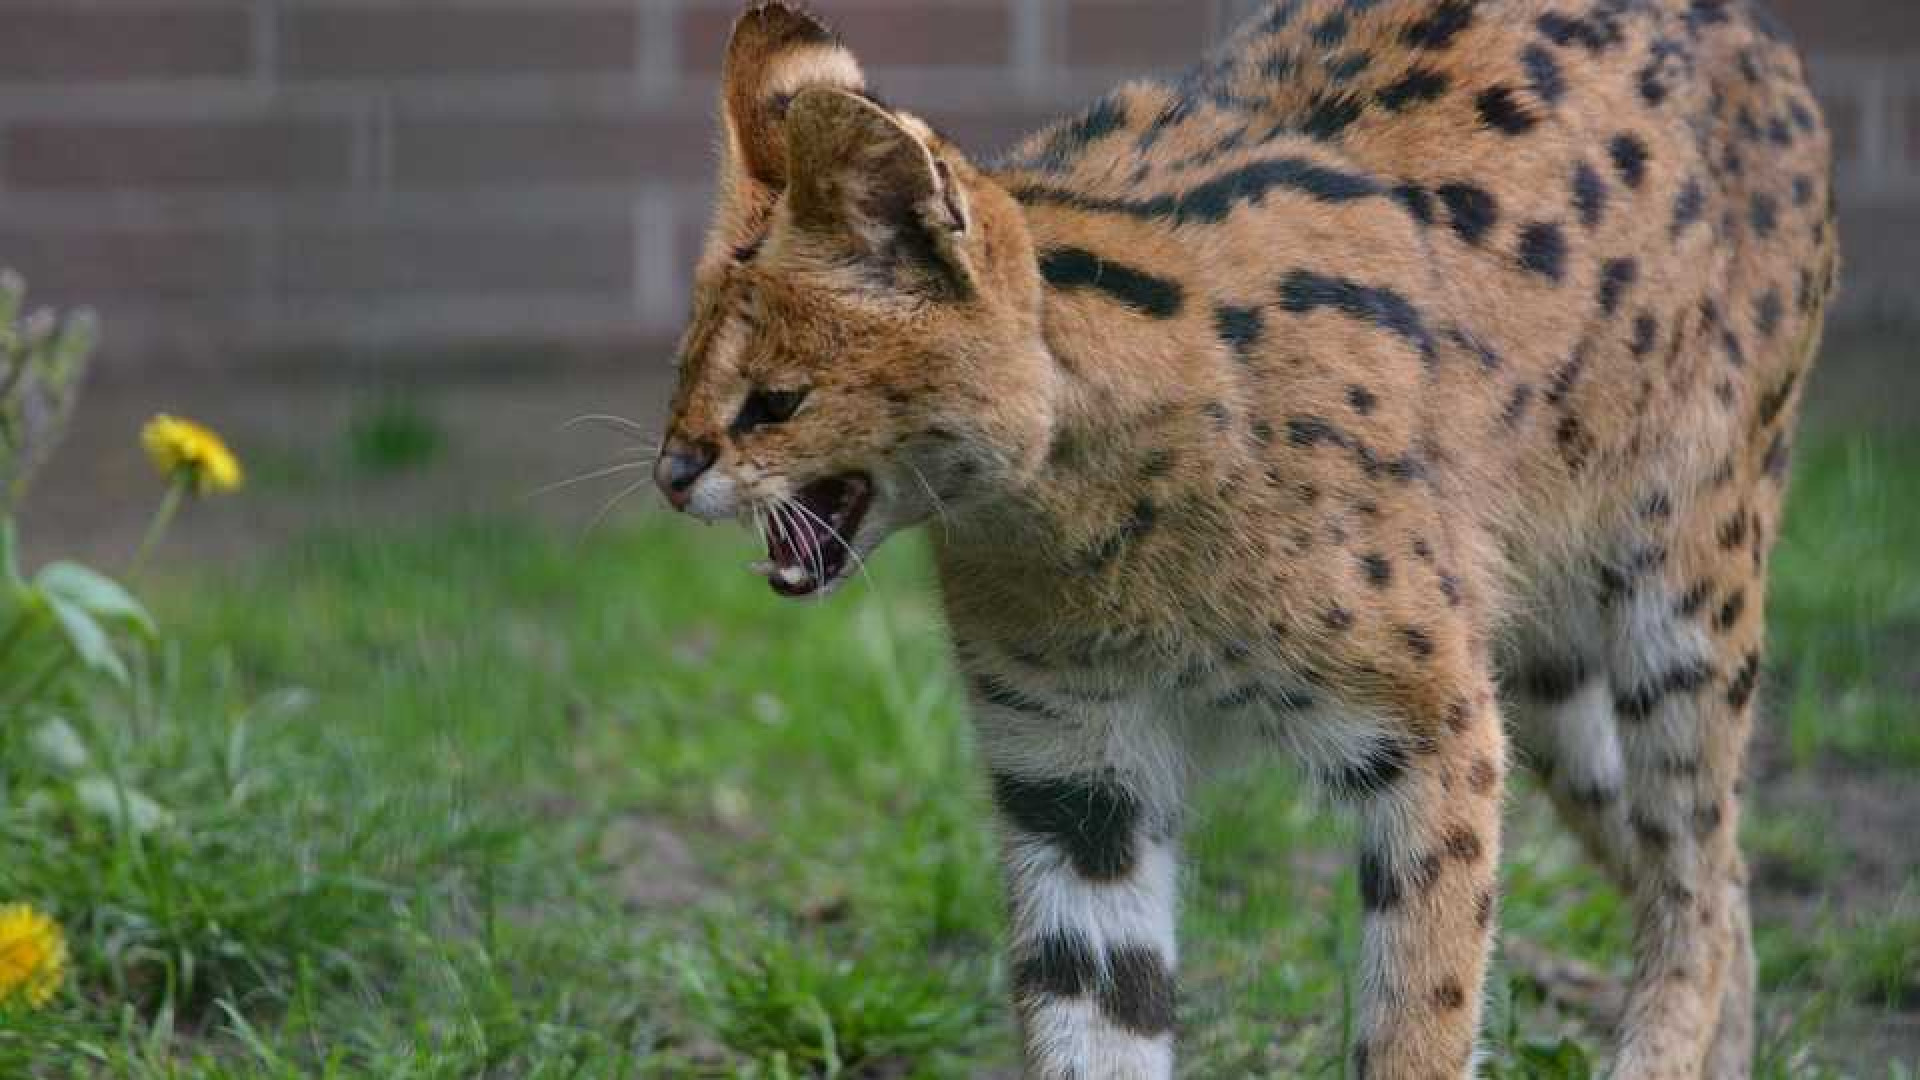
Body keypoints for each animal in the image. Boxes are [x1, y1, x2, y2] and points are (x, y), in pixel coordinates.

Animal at [645, 2, 1827, 1068]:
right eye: (685, 372)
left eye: (775, 402)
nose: (669, 475)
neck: (1075, 517)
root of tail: (1749, 29)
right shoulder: (1075, 778)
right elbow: (1095, 1021)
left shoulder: (1437, 727)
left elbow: (1423, 1015)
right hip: (1541, 668)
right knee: (1721, 881)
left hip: (1682, 589)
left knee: (1697, 882)